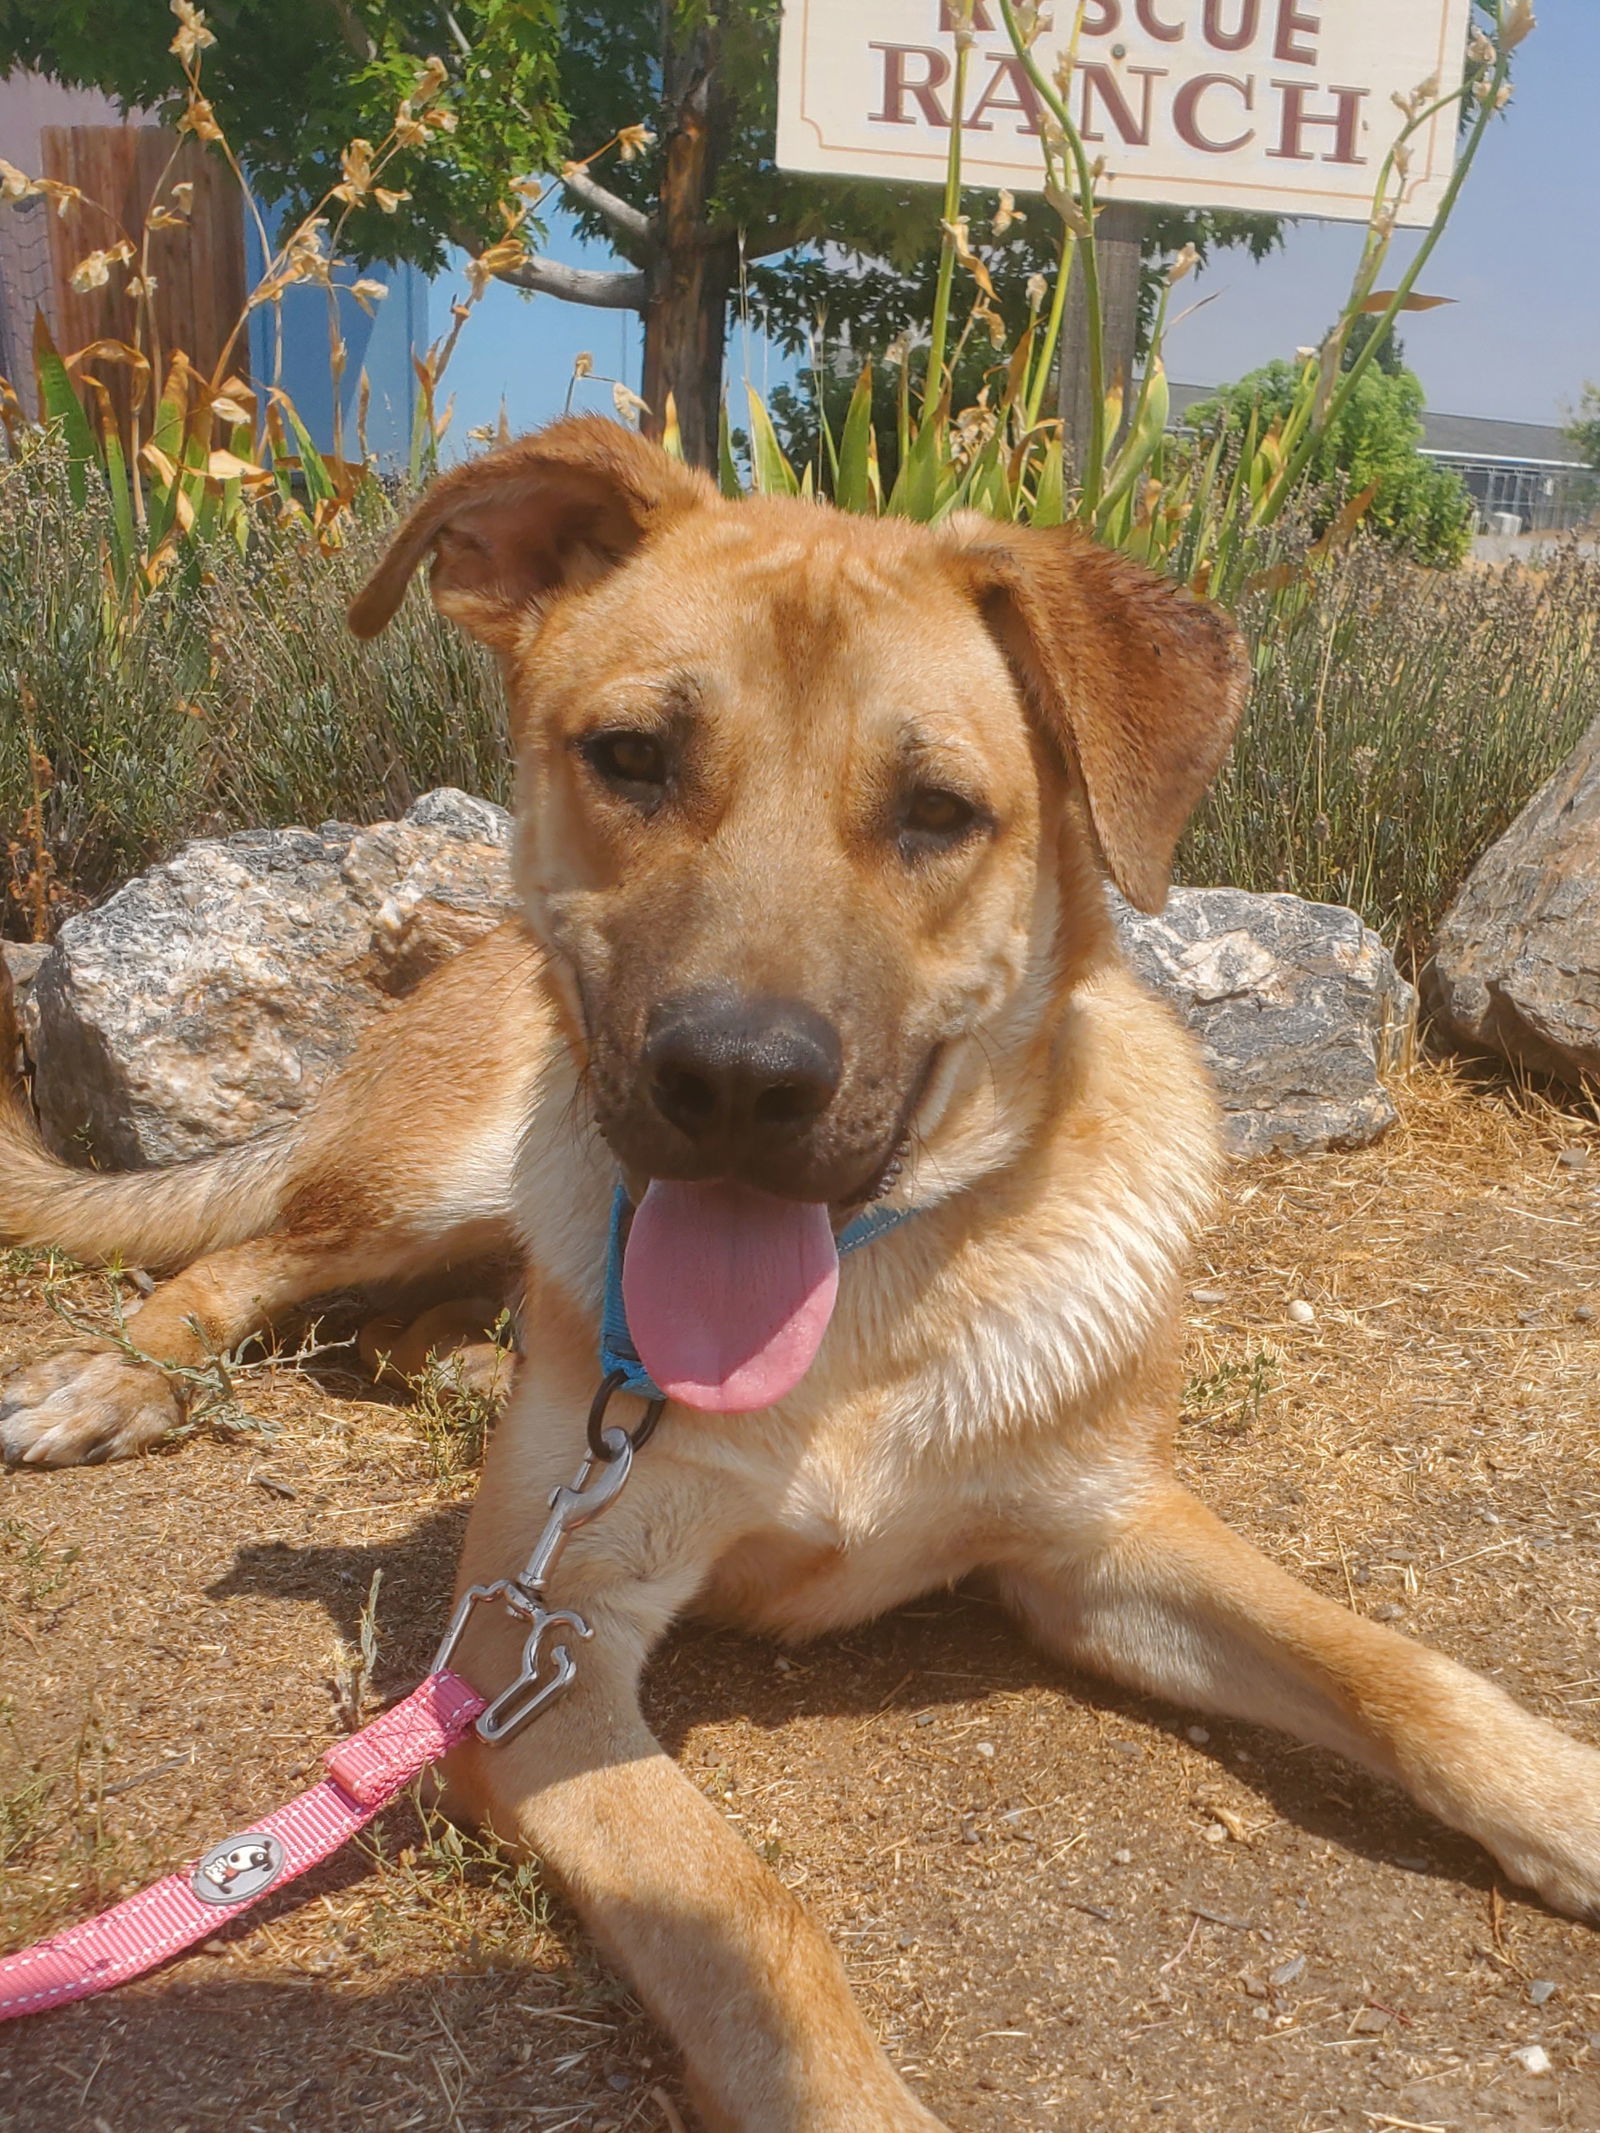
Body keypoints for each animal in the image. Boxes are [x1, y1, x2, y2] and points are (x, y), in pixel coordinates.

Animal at [3, 411, 1600, 2115]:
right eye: (632, 757)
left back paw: (454, 1355)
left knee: (409, 1311)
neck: (866, 1325)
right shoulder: (540, 1660)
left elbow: (1389, 1668)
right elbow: (746, 1924)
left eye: (939, 811)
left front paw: (1559, 1796)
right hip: (422, 1177)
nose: (736, 1082)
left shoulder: (1101, 1548)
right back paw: (118, 1380)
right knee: (254, 1253)